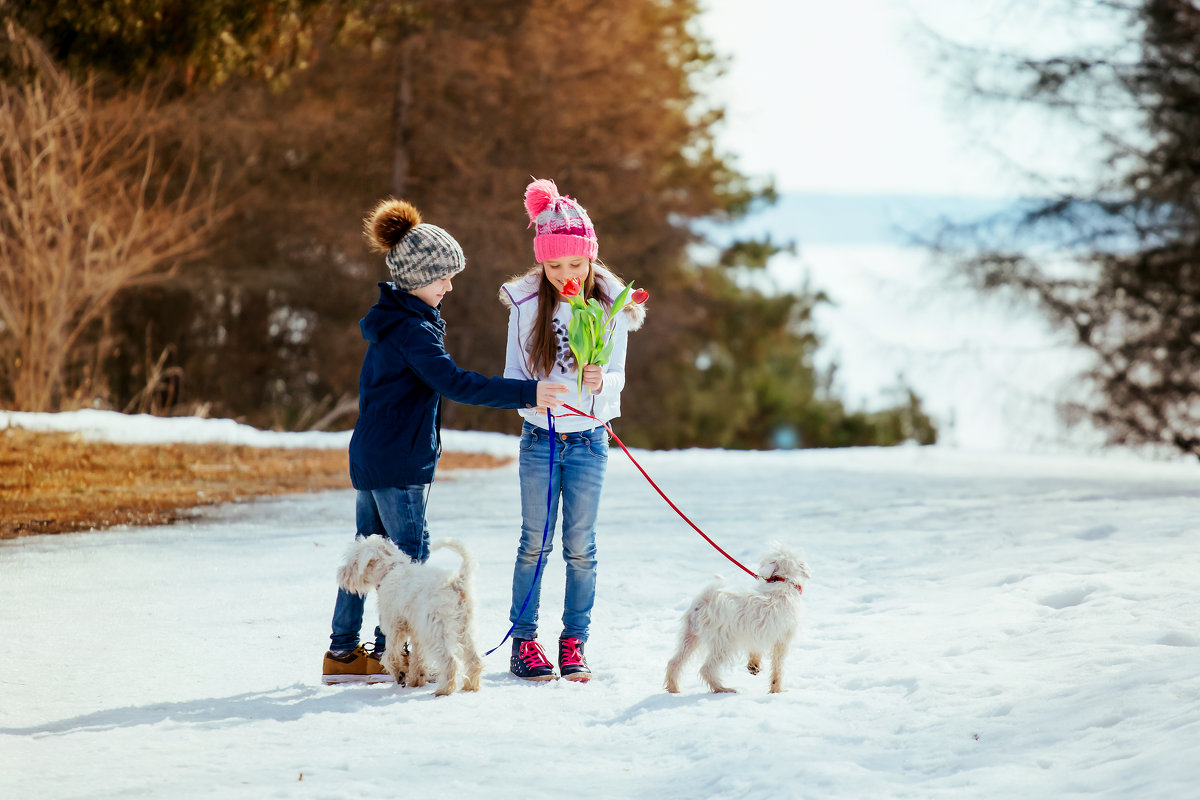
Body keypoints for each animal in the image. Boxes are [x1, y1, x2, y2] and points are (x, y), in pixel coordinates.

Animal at [333, 534, 482, 695]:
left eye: (353, 561)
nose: (340, 574)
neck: (390, 570)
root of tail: (457, 582)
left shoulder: (395, 628)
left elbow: (390, 655)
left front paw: (399, 673)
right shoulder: (416, 633)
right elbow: (417, 658)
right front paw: (416, 680)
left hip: (437, 631)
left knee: (450, 662)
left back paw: (443, 690)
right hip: (465, 629)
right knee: (475, 660)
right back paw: (470, 687)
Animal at [662, 544, 811, 695]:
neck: (782, 583)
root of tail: (706, 600)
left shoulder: (757, 634)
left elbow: (755, 651)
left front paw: (754, 666)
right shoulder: (782, 640)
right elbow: (778, 668)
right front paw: (777, 690)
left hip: (690, 637)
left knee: (674, 662)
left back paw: (674, 689)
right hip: (725, 644)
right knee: (707, 669)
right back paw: (723, 689)